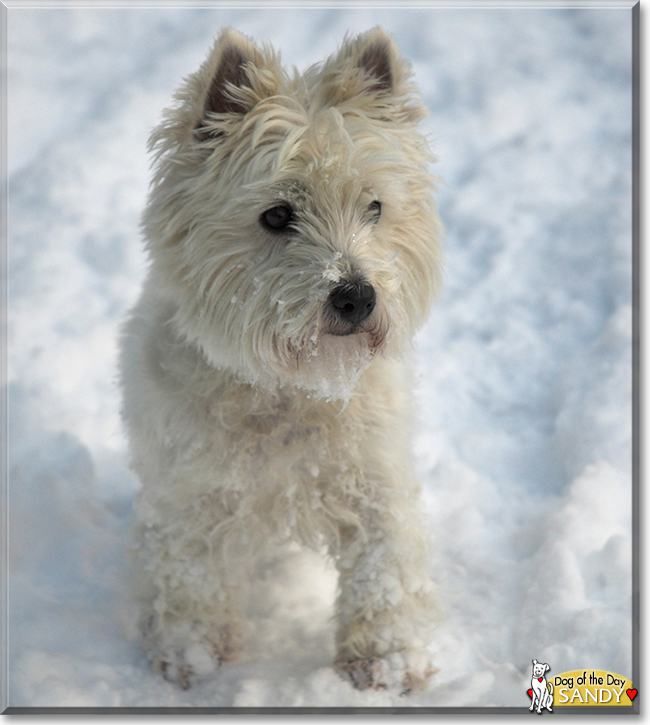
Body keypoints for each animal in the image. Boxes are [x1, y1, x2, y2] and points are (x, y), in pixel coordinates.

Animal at [119, 24, 442, 692]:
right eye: (276, 215)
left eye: (375, 207)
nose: (357, 296)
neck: (292, 388)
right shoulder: (189, 490)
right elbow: (190, 569)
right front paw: (190, 655)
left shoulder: (374, 476)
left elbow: (384, 565)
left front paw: (388, 659)